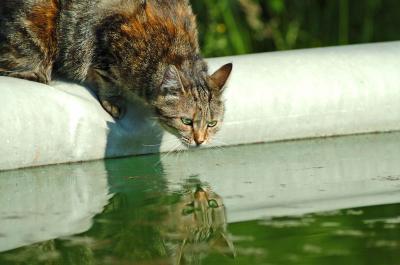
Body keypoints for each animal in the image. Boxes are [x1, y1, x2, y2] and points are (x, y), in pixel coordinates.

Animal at [0, 0, 231, 146]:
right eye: (186, 121)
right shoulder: (106, 39)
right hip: (38, 20)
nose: (200, 140)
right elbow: (108, 78)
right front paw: (113, 100)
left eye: (212, 124)